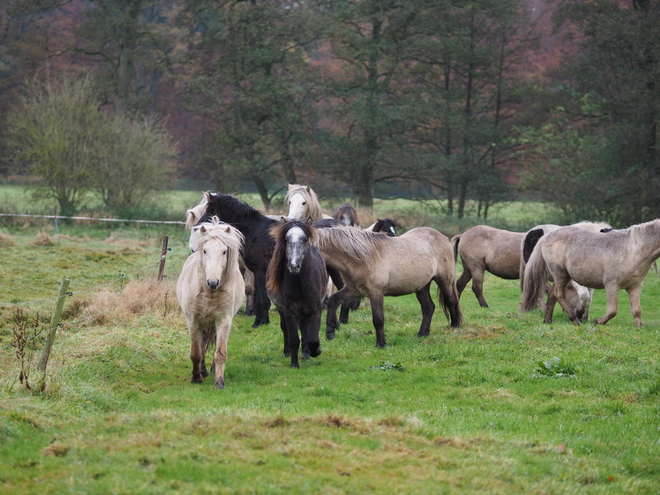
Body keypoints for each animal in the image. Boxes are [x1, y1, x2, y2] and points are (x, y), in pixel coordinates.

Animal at [175, 219, 245, 390]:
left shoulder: (223, 321)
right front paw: (196, 377)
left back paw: (212, 370)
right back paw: (202, 371)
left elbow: (220, 353)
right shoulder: (193, 321)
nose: (213, 282)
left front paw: (219, 382)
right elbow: (196, 352)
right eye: (205, 251)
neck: (209, 293)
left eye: (224, 252)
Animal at [266, 220, 328, 368]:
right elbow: (294, 338)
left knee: (305, 328)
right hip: (283, 311)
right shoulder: (288, 311)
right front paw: (294, 364)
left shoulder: (316, 309)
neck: (300, 285)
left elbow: (313, 338)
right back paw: (287, 352)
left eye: (305, 239)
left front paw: (315, 351)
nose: (294, 266)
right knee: (286, 330)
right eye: (287, 239)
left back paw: (306, 353)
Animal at [318, 226, 462, 346]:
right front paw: (330, 331)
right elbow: (333, 301)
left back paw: (455, 326)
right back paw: (422, 334)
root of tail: (443, 238)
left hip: (445, 280)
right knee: (428, 307)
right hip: (422, 286)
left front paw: (381, 343)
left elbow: (378, 319)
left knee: (451, 301)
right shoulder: (354, 291)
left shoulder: (376, 293)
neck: (363, 257)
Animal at [520, 219, 660, 328]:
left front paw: (639, 327)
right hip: (560, 274)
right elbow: (612, 311)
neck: (631, 249)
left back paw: (548, 320)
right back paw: (574, 319)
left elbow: (637, 310)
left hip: (563, 277)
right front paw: (597, 322)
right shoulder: (612, 285)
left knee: (552, 294)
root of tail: (546, 236)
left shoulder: (635, 287)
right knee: (558, 294)